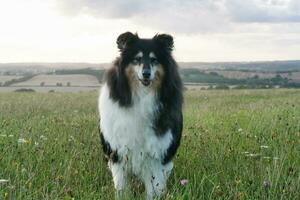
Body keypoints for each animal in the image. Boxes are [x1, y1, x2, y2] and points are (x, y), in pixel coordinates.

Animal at [98, 32, 183, 199]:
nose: (146, 74)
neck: (141, 95)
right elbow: (121, 184)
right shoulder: (118, 152)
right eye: (136, 59)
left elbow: (155, 185)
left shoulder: (156, 154)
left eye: (154, 59)